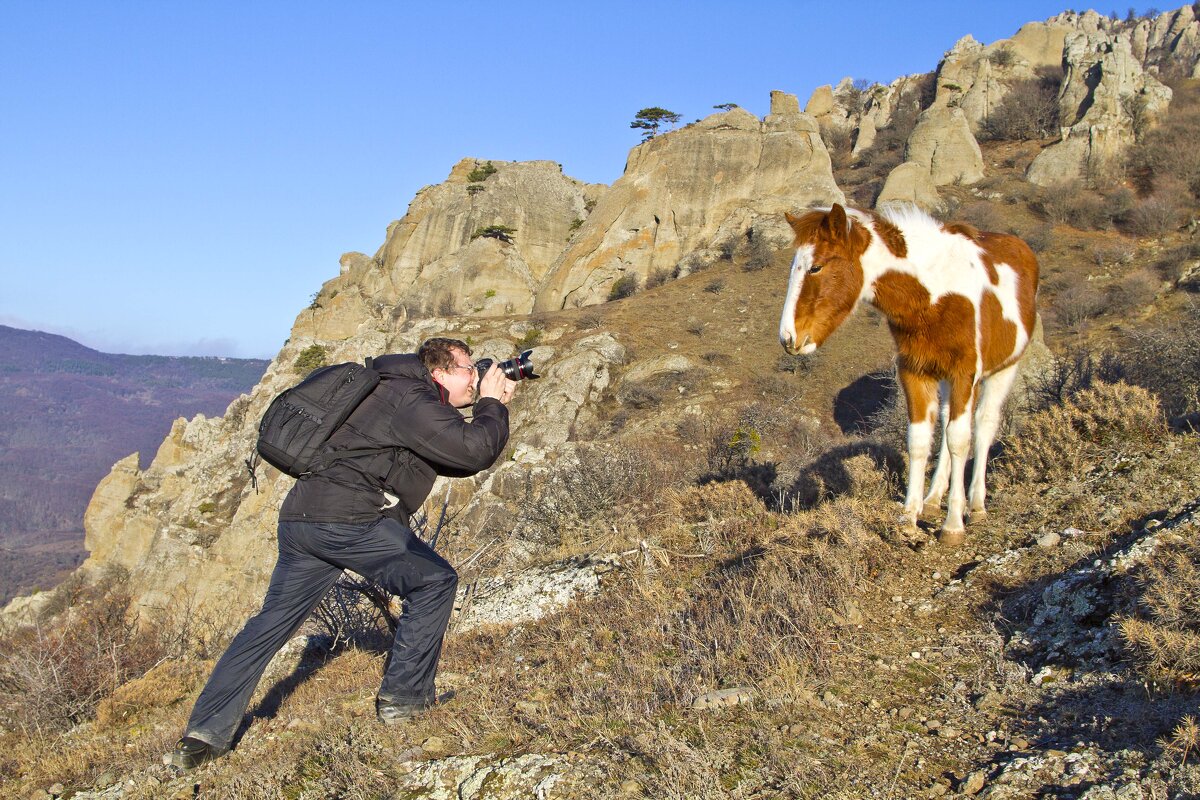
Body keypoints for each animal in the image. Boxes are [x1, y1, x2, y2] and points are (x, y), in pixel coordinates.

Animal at [782, 203, 1036, 546]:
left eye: (816, 268)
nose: (788, 338)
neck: (933, 294)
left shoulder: (964, 373)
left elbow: (960, 440)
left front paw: (953, 525)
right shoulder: (915, 372)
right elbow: (919, 439)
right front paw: (908, 518)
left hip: (1004, 370)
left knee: (984, 427)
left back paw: (976, 506)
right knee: (946, 420)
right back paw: (933, 499)